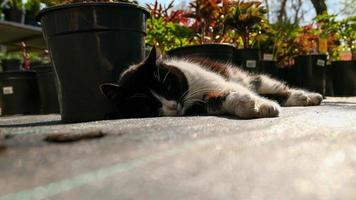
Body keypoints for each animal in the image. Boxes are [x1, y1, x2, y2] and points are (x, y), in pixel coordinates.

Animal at [99, 47, 322, 119]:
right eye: (145, 104)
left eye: (168, 86)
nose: (172, 106)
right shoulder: (197, 106)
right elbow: (216, 101)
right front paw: (247, 105)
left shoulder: (216, 80)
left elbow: (231, 89)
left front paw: (263, 105)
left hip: (252, 79)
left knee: (272, 87)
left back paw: (307, 96)